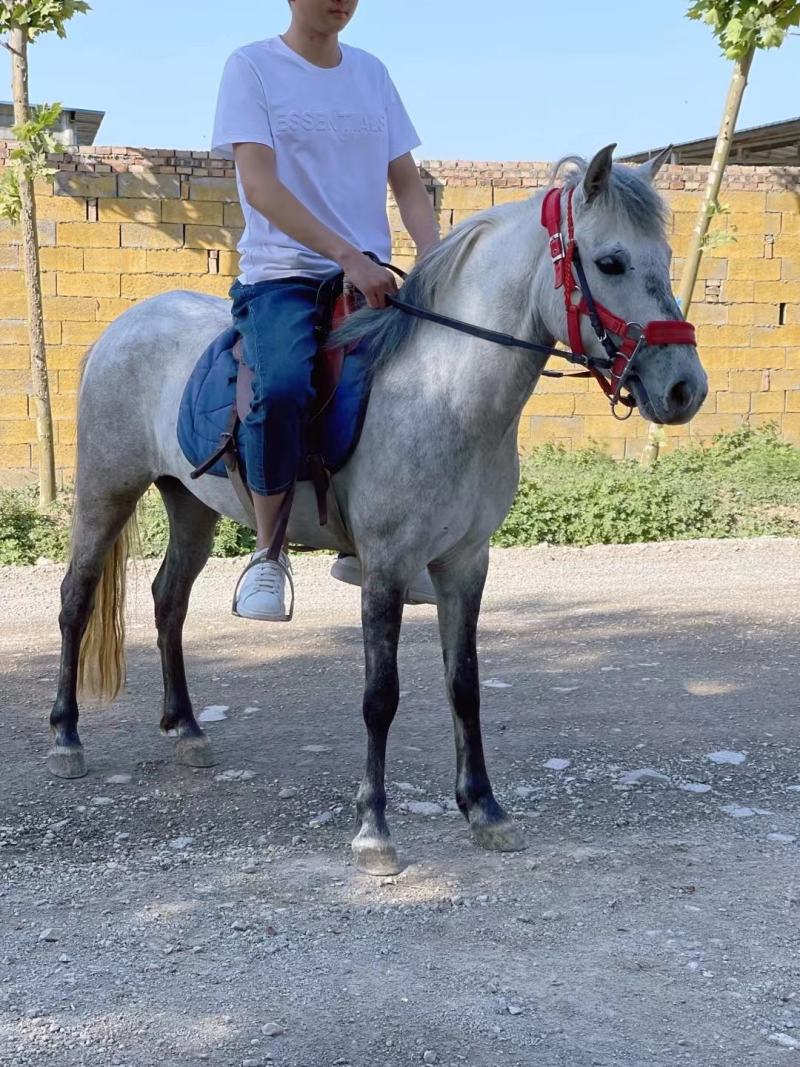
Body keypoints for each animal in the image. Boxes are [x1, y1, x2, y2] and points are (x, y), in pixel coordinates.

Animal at [48, 146, 707, 876]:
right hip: (106, 491)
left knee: (169, 600)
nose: (685, 388)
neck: (444, 389)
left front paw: (484, 809)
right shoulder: (387, 566)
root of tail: (124, 325)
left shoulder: (465, 563)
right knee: (76, 598)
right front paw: (373, 829)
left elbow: (464, 683)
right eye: (611, 261)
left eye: (665, 255)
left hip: (191, 505)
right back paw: (67, 736)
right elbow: (380, 695)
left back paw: (186, 727)